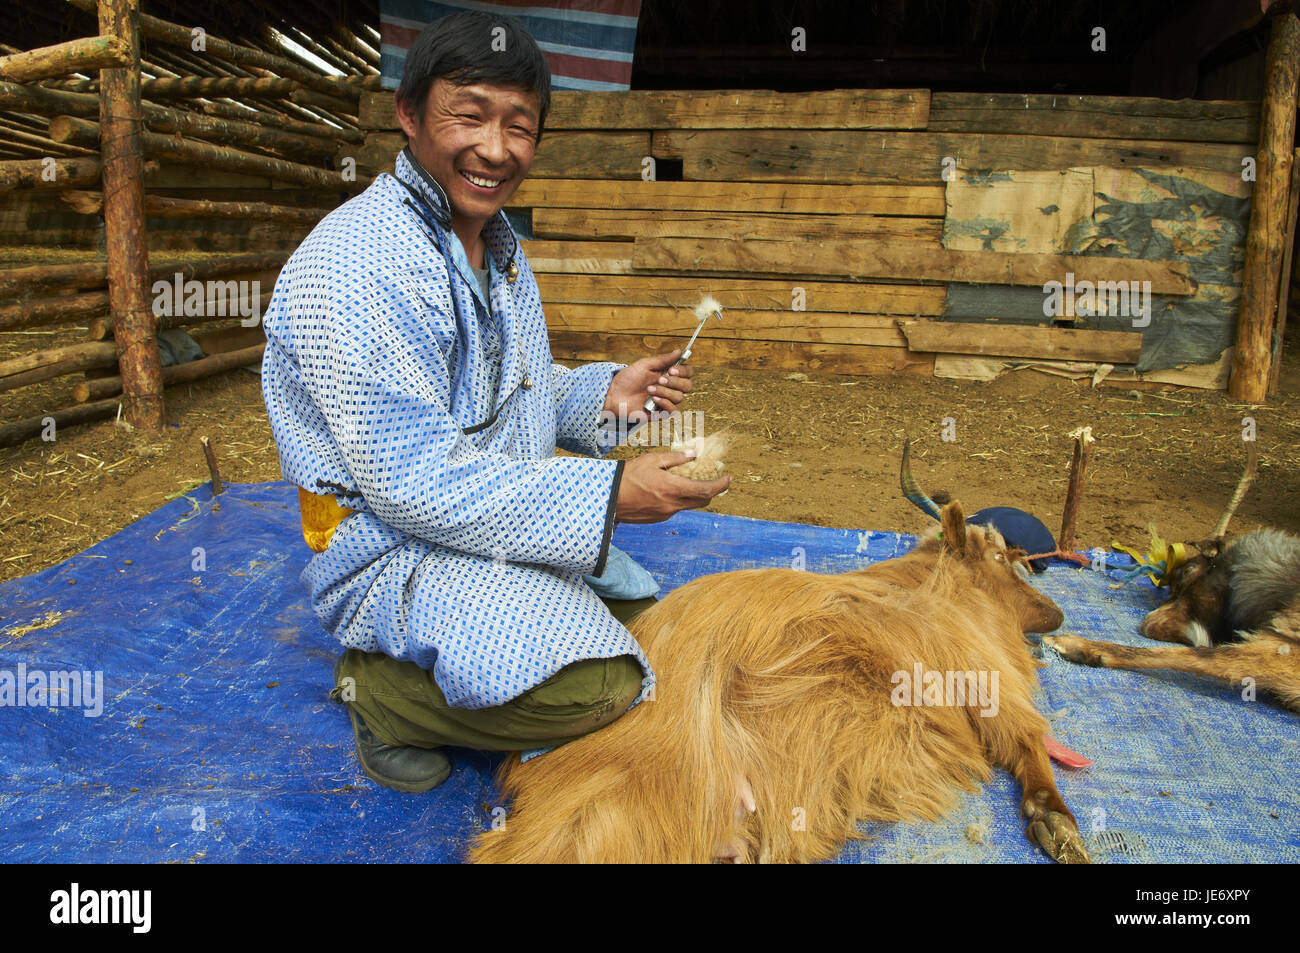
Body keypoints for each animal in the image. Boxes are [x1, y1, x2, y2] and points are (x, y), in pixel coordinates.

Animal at [473, 501, 1092, 868]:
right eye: (1000, 556)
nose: (1056, 613)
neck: (932, 588)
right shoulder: (985, 679)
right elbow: (1026, 741)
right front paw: (1056, 824)